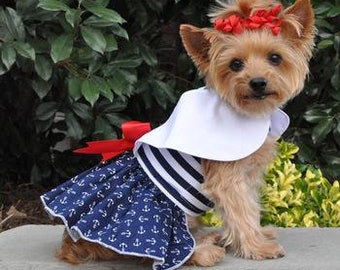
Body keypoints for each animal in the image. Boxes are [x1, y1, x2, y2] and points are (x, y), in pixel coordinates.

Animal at [41, 0, 314, 268]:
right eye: (235, 64)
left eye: (275, 58)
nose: (258, 82)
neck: (244, 111)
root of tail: (71, 243)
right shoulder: (227, 180)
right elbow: (241, 213)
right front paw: (257, 247)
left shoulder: (248, 176)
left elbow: (251, 208)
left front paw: (259, 234)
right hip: (155, 216)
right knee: (156, 253)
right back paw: (204, 252)